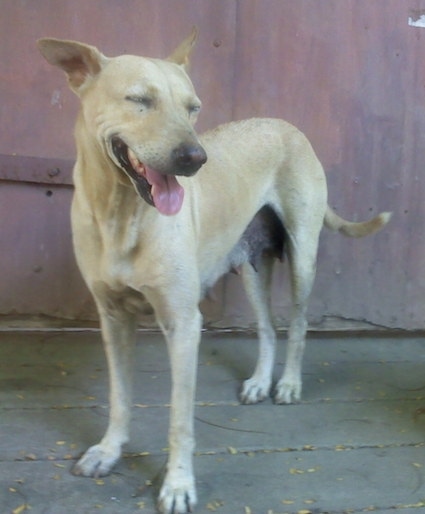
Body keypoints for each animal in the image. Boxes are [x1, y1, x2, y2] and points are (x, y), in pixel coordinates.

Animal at [37, 29, 390, 512]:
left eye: (193, 107)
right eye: (139, 99)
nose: (194, 157)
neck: (120, 213)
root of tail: (286, 125)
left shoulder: (184, 324)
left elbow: (180, 419)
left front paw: (178, 484)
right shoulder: (112, 318)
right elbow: (119, 396)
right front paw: (109, 451)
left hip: (303, 255)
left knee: (298, 325)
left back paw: (288, 385)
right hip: (251, 267)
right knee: (267, 327)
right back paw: (259, 382)